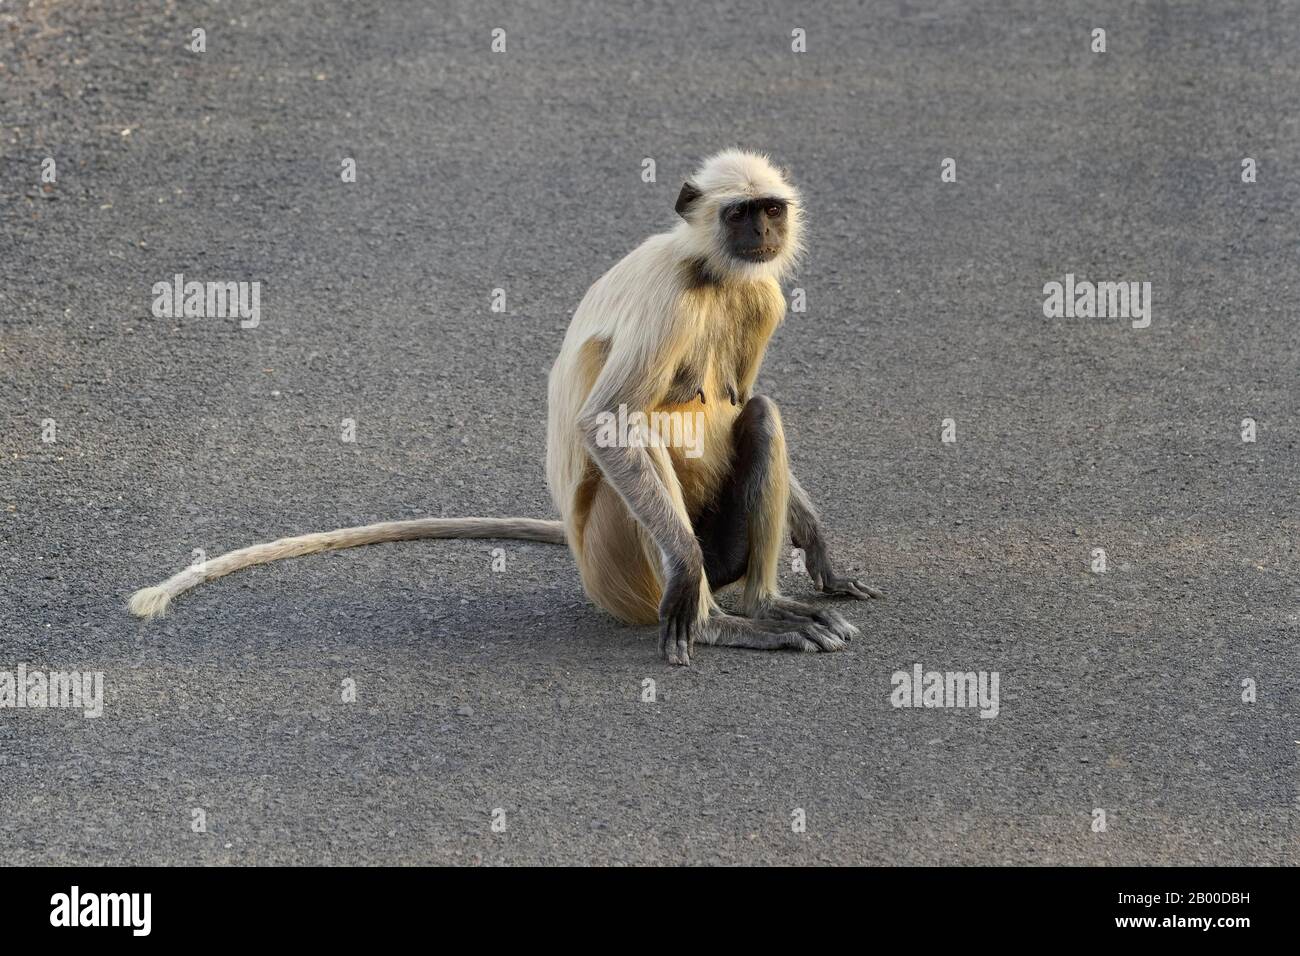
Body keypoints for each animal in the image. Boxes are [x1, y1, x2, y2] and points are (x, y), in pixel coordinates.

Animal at [129, 149, 883, 665]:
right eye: (738, 212)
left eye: (770, 210)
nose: (762, 233)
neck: (712, 274)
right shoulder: (672, 295)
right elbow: (606, 423)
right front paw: (706, 588)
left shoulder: (762, 296)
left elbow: (744, 400)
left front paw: (819, 549)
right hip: (616, 562)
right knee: (650, 460)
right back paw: (720, 619)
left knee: (761, 413)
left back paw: (765, 603)